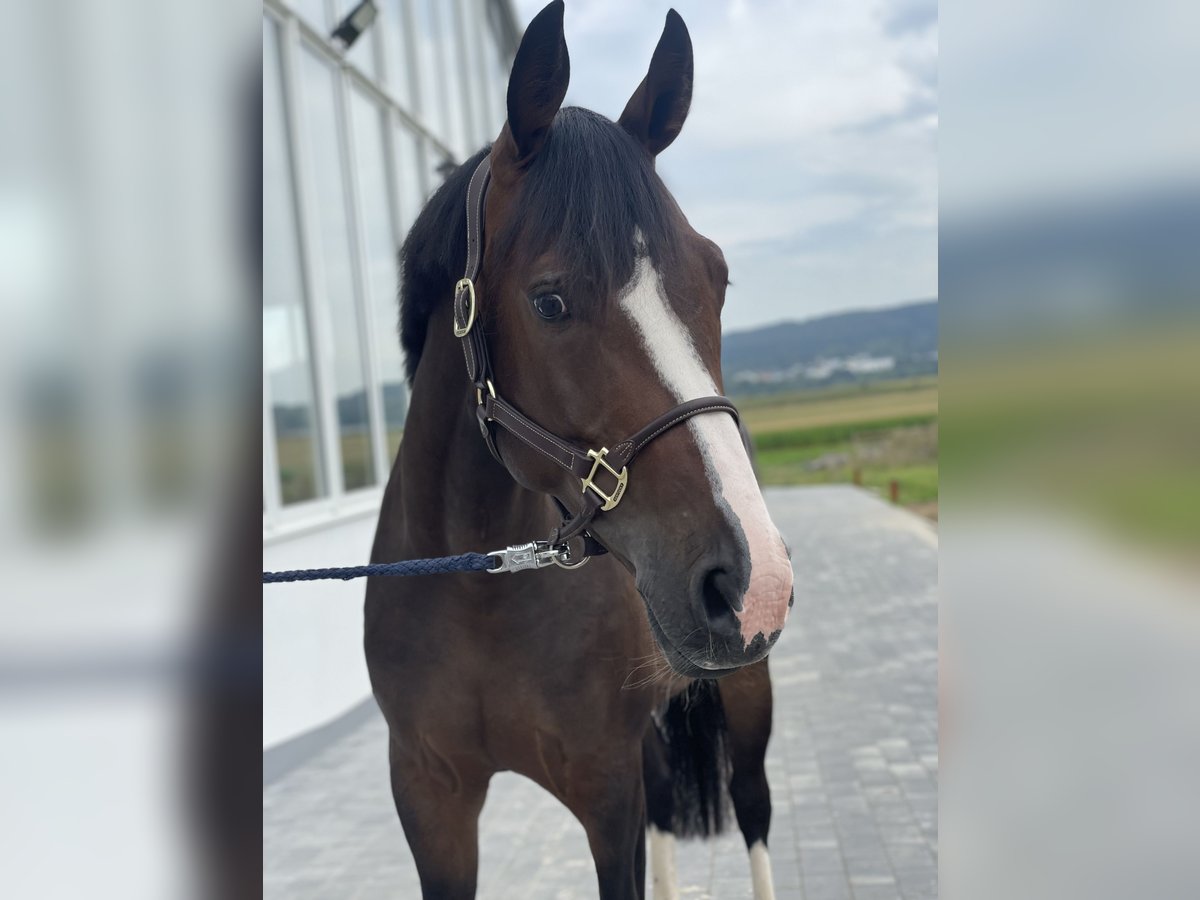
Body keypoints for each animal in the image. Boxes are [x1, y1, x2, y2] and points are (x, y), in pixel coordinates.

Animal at [364, 3, 796, 897]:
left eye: (718, 276)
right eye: (551, 300)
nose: (750, 580)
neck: (477, 588)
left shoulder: (604, 789)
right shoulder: (430, 797)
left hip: (746, 696)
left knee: (754, 808)